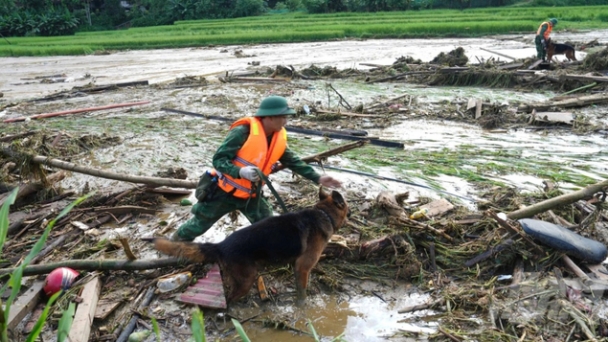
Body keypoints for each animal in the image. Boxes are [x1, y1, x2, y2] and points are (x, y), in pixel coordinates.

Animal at [145, 190, 350, 304]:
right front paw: (303, 307)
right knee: (229, 299)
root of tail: (221, 245)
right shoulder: (303, 268)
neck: (323, 213)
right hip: (247, 279)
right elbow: (302, 292)